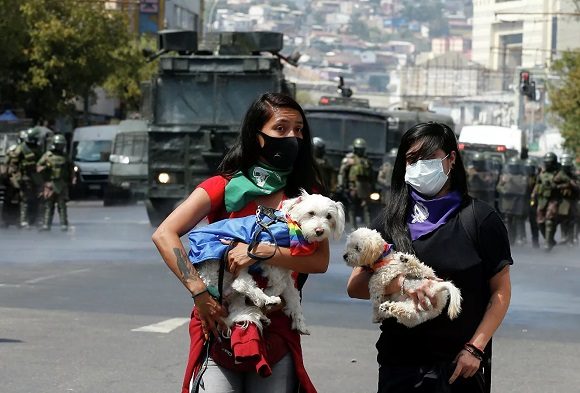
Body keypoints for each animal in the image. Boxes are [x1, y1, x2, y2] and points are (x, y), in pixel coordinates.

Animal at [190, 190, 344, 334]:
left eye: (329, 216)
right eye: (311, 213)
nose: (319, 231)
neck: (290, 226)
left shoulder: (286, 271)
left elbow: (293, 295)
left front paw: (300, 322)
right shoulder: (269, 255)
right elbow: (280, 284)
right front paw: (270, 293)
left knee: (238, 293)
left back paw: (262, 313)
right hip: (228, 259)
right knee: (241, 283)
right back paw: (267, 300)